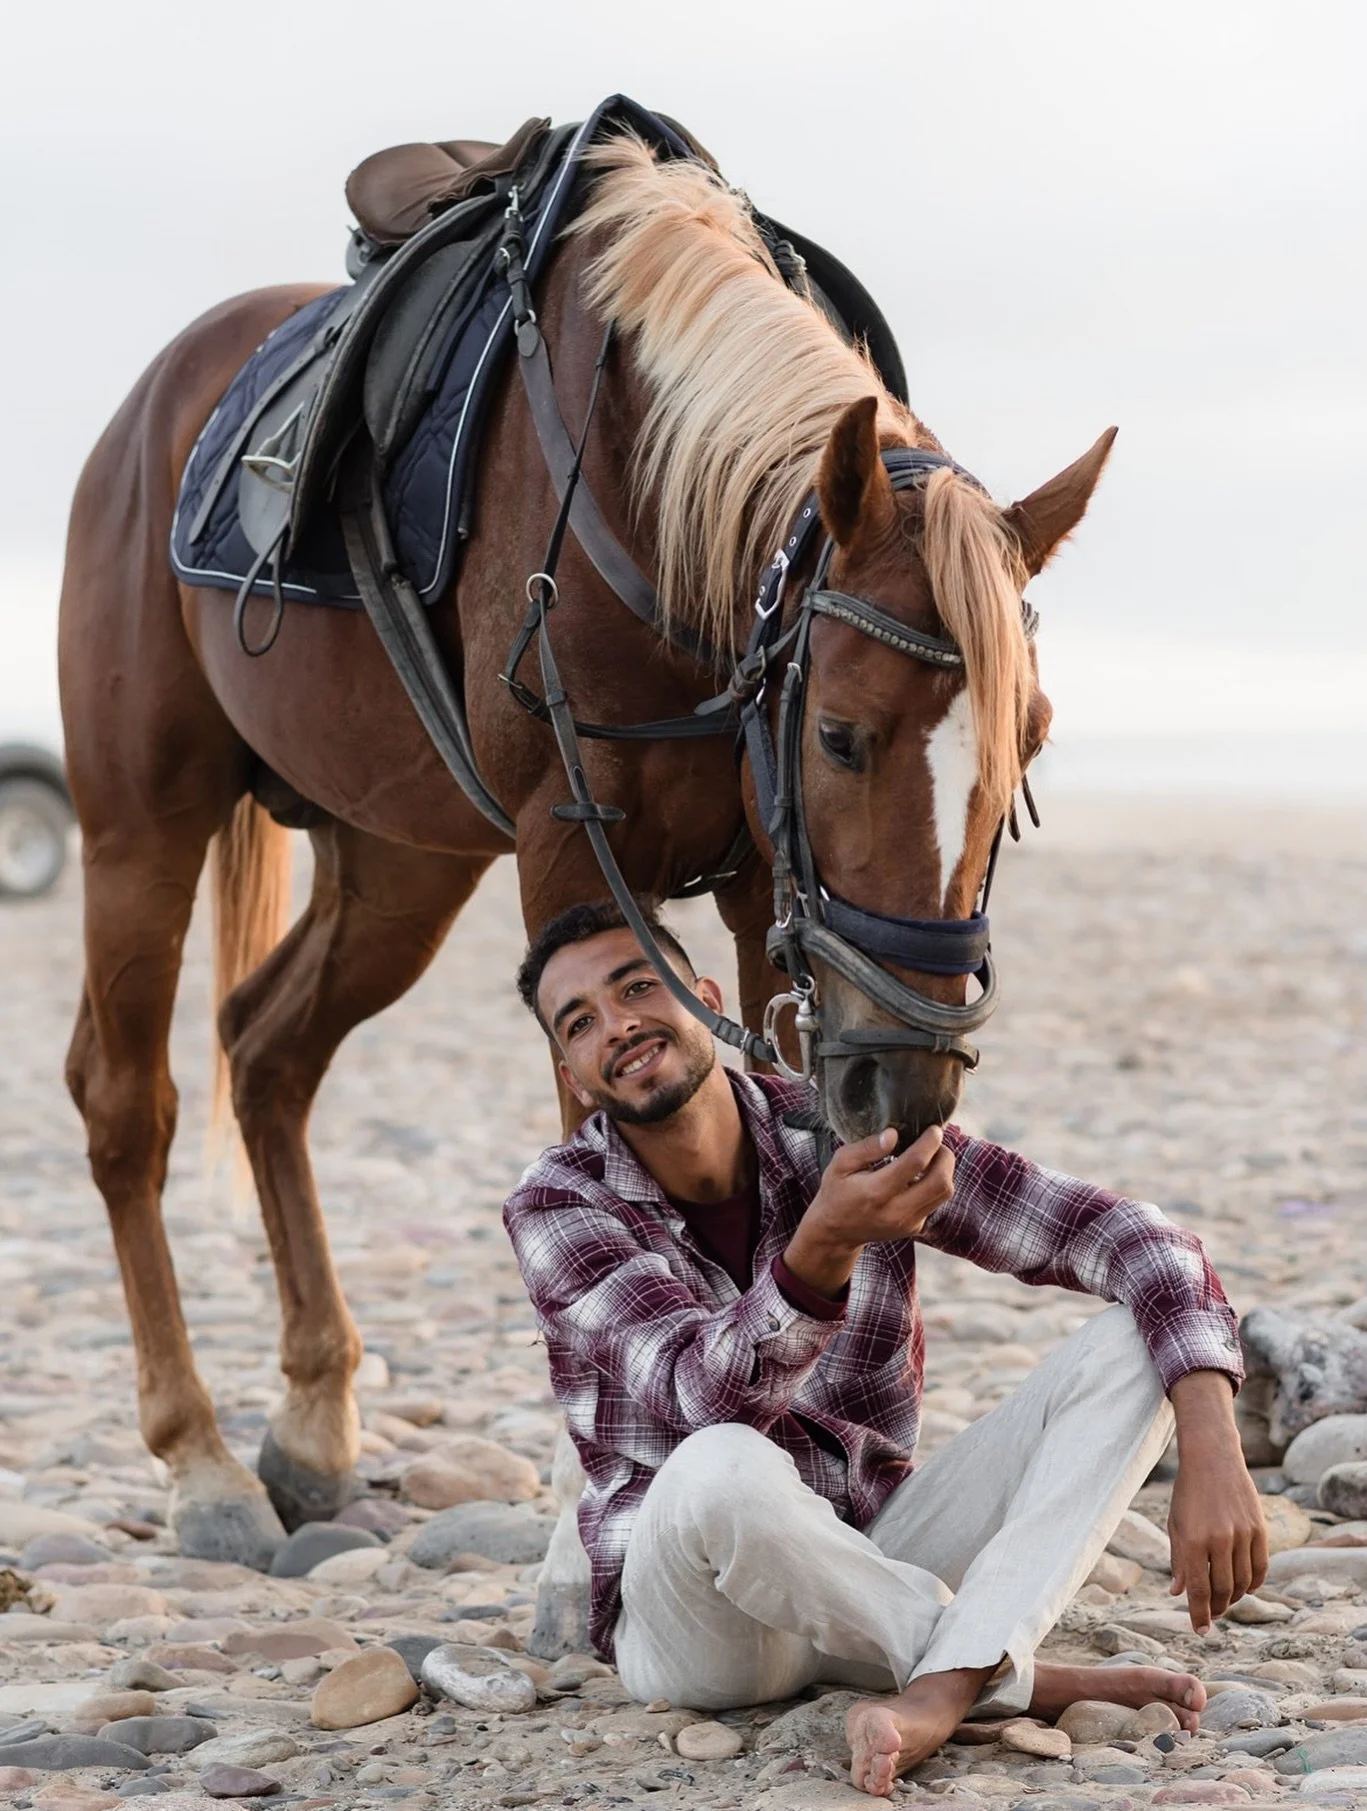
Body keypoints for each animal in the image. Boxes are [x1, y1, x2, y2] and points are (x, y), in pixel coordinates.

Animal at [58, 131, 1114, 1574]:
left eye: (1028, 744)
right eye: (839, 735)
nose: (909, 1083)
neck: (653, 511)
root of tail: (149, 408)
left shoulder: (761, 883)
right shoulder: (569, 852)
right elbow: (590, 1145)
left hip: (397, 864)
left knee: (268, 1052)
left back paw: (315, 1418)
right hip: (139, 827)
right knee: (128, 1100)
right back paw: (199, 1457)